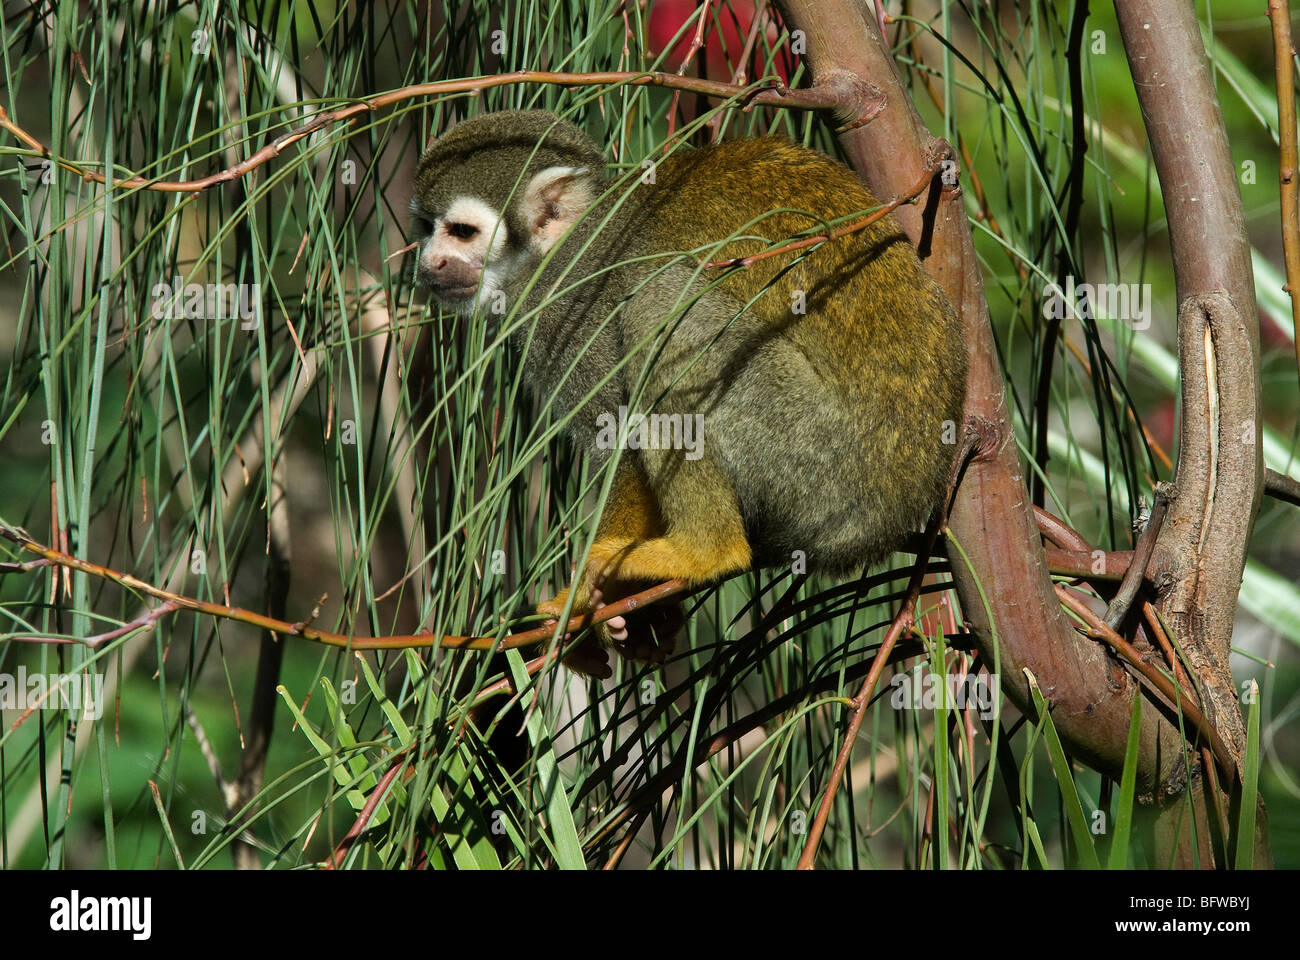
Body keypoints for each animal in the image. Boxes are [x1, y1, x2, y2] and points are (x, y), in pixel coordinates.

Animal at [411, 110, 967, 677]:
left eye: (461, 232)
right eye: (427, 228)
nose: (428, 264)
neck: (564, 249)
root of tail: (900, 505)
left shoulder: (575, 310)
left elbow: (618, 437)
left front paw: (588, 593)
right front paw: (636, 620)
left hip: (820, 455)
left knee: (661, 304)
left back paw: (704, 551)